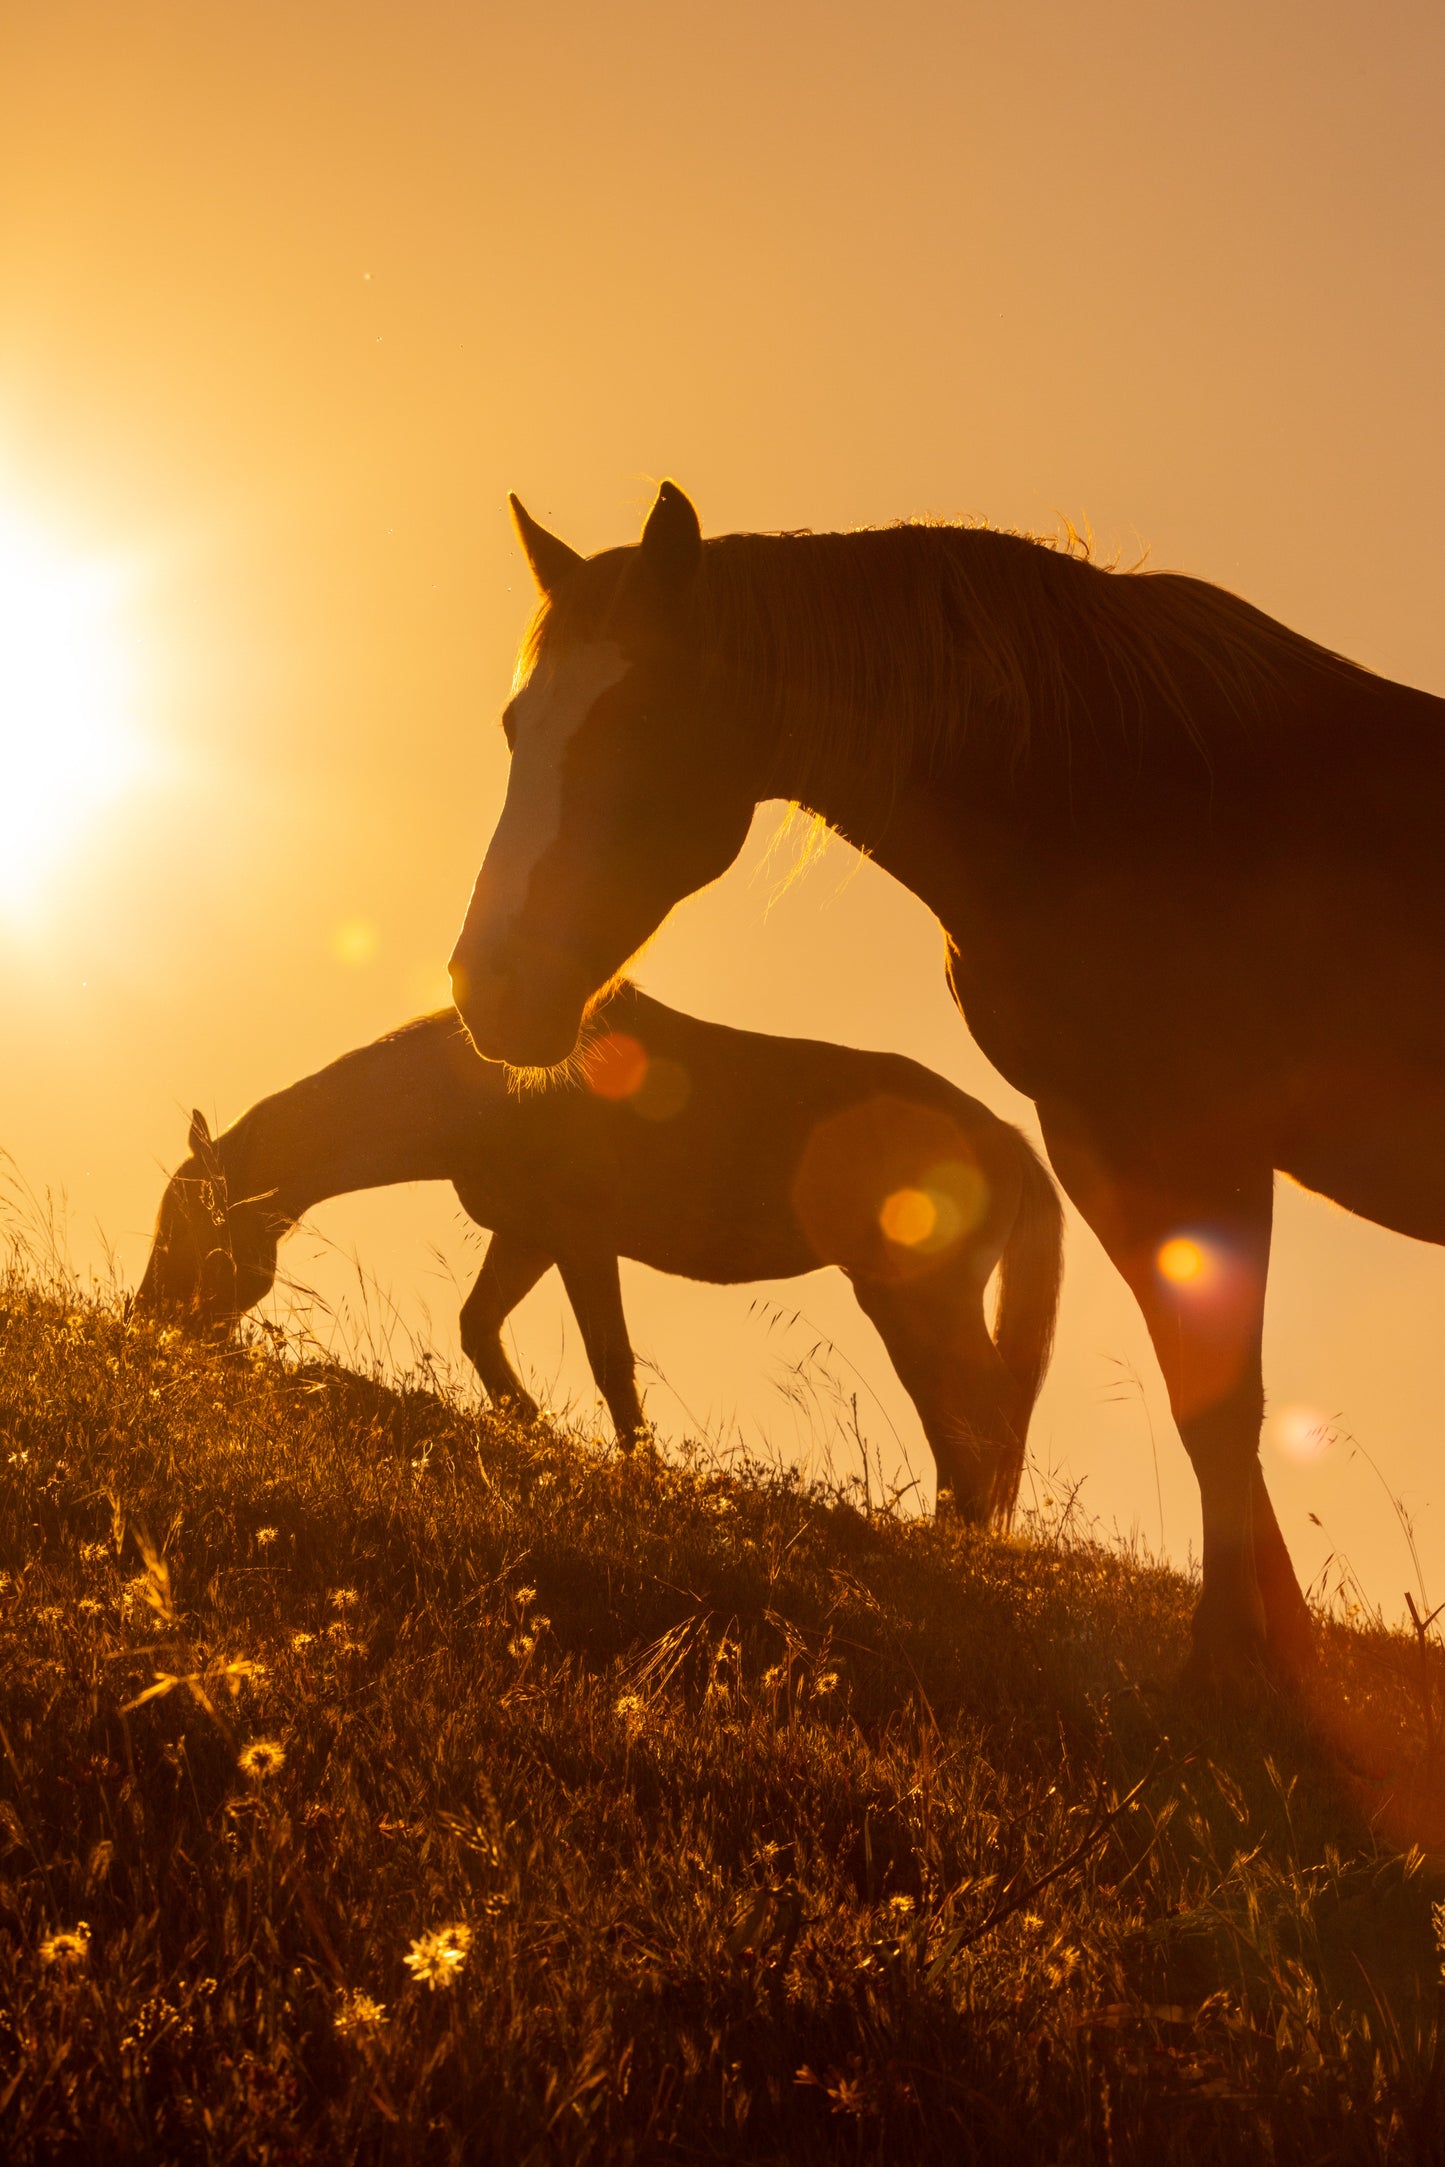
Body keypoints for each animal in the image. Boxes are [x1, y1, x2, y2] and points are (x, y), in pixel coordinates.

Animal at [135, 988, 1061, 1525]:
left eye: (184, 1228)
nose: (144, 1324)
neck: (491, 1089)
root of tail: (1010, 1142)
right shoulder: (529, 1235)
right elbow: (477, 1326)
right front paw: (530, 1426)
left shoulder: (582, 1238)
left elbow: (611, 1359)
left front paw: (641, 1471)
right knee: (964, 1416)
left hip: (915, 1298)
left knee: (981, 1412)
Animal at [448, 483, 1445, 1681]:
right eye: (515, 727)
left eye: (638, 723)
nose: (490, 987)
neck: (1138, 807)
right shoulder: (1098, 1138)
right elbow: (1198, 1389)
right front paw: (1270, 1657)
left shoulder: (1200, 1137)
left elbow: (1221, 1402)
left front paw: (1234, 1666)